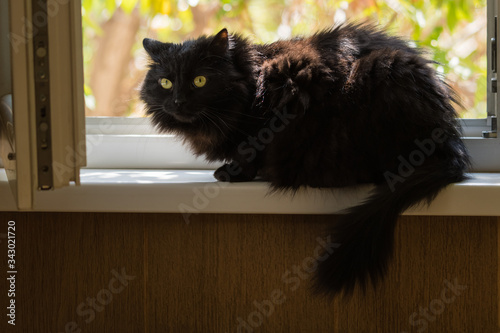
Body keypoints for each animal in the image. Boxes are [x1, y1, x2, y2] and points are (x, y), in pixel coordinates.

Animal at [140, 24, 468, 296]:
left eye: (200, 80)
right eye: (166, 83)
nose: (178, 101)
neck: (251, 82)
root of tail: (448, 137)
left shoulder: (277, 104)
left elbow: (250, 151)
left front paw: (232, 173)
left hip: (382, 74)